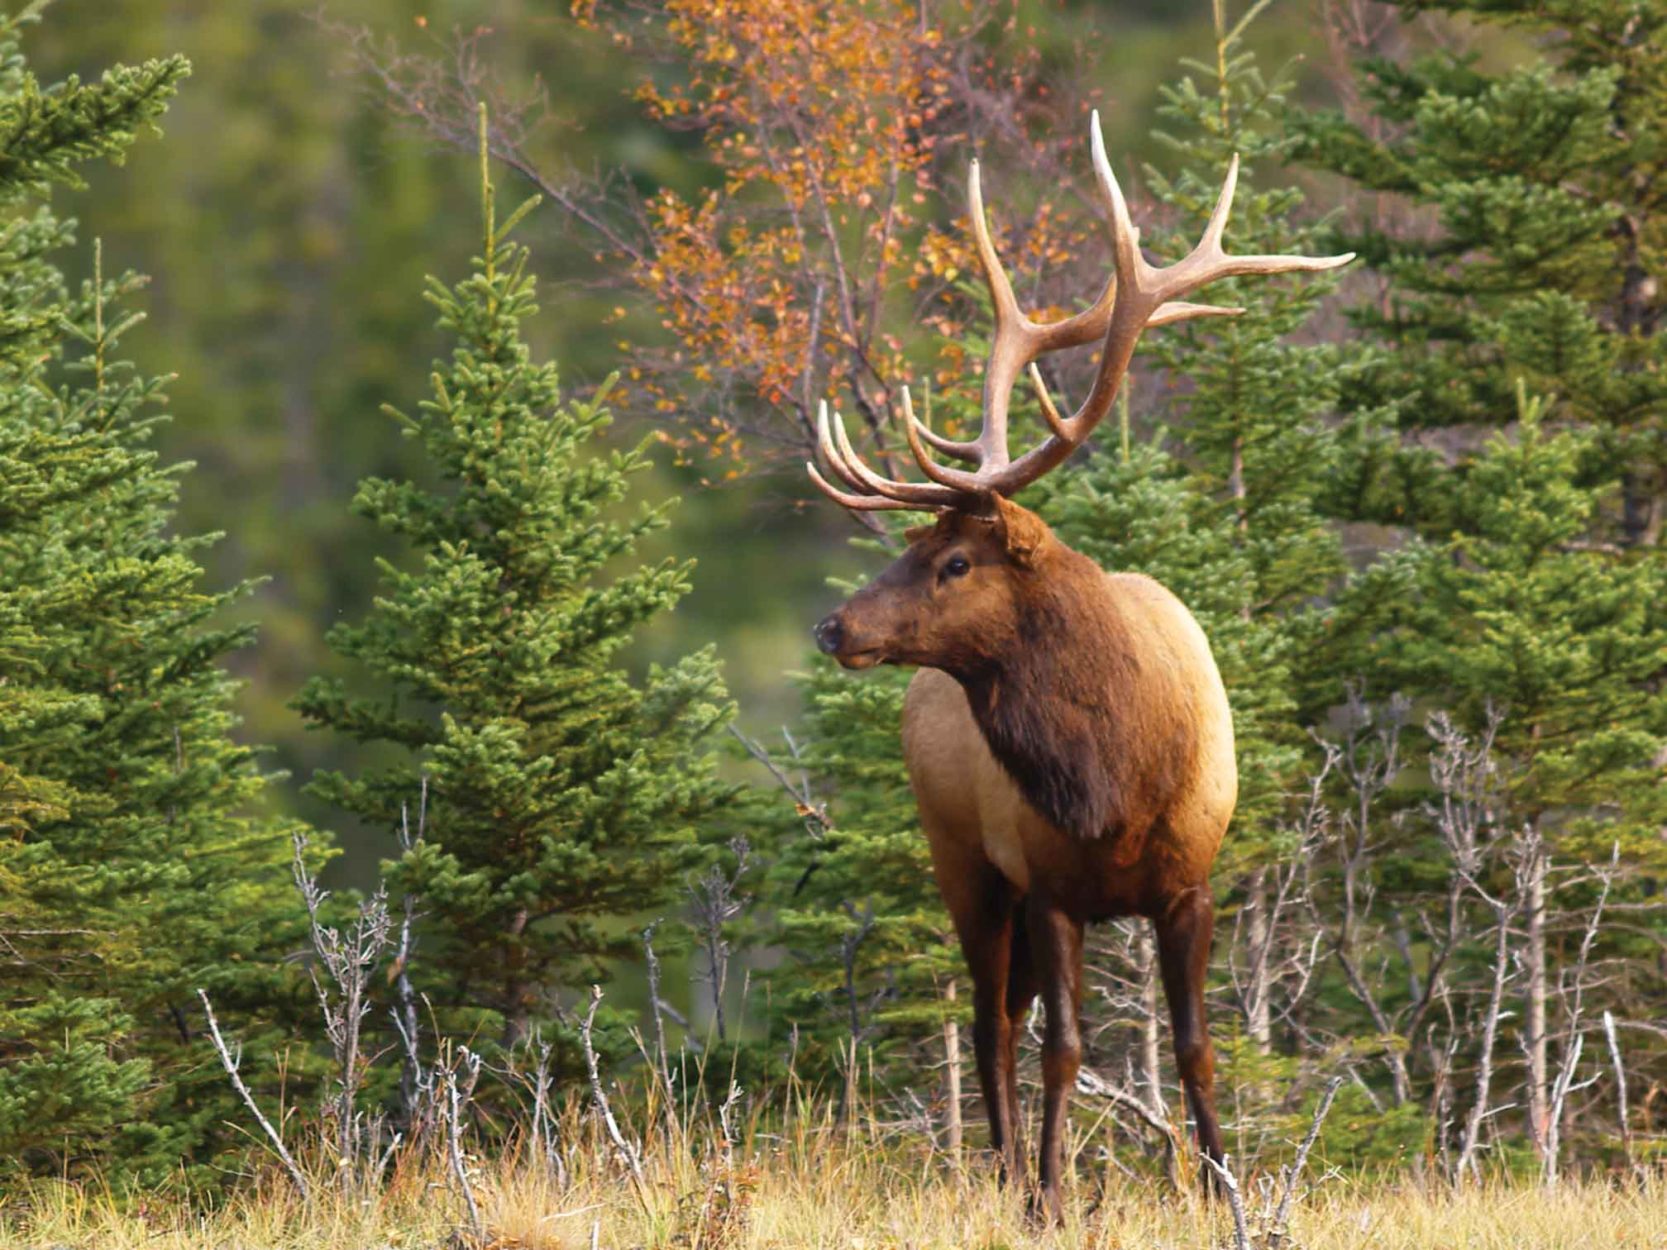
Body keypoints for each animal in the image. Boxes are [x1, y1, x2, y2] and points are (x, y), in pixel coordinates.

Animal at [806, 115, 1353, 1213]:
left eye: (954, 559)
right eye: (916, 543)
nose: (834, 626)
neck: (1119, 777)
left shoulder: (1189, 883)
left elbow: (1194, 1048)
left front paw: (1221, 1187)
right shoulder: (1050, 884)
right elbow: (1062, 1048)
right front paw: (1051, 1197)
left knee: (1002, 1020)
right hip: (964, 863)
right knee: (991, 1024)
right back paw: (1008, 1173)